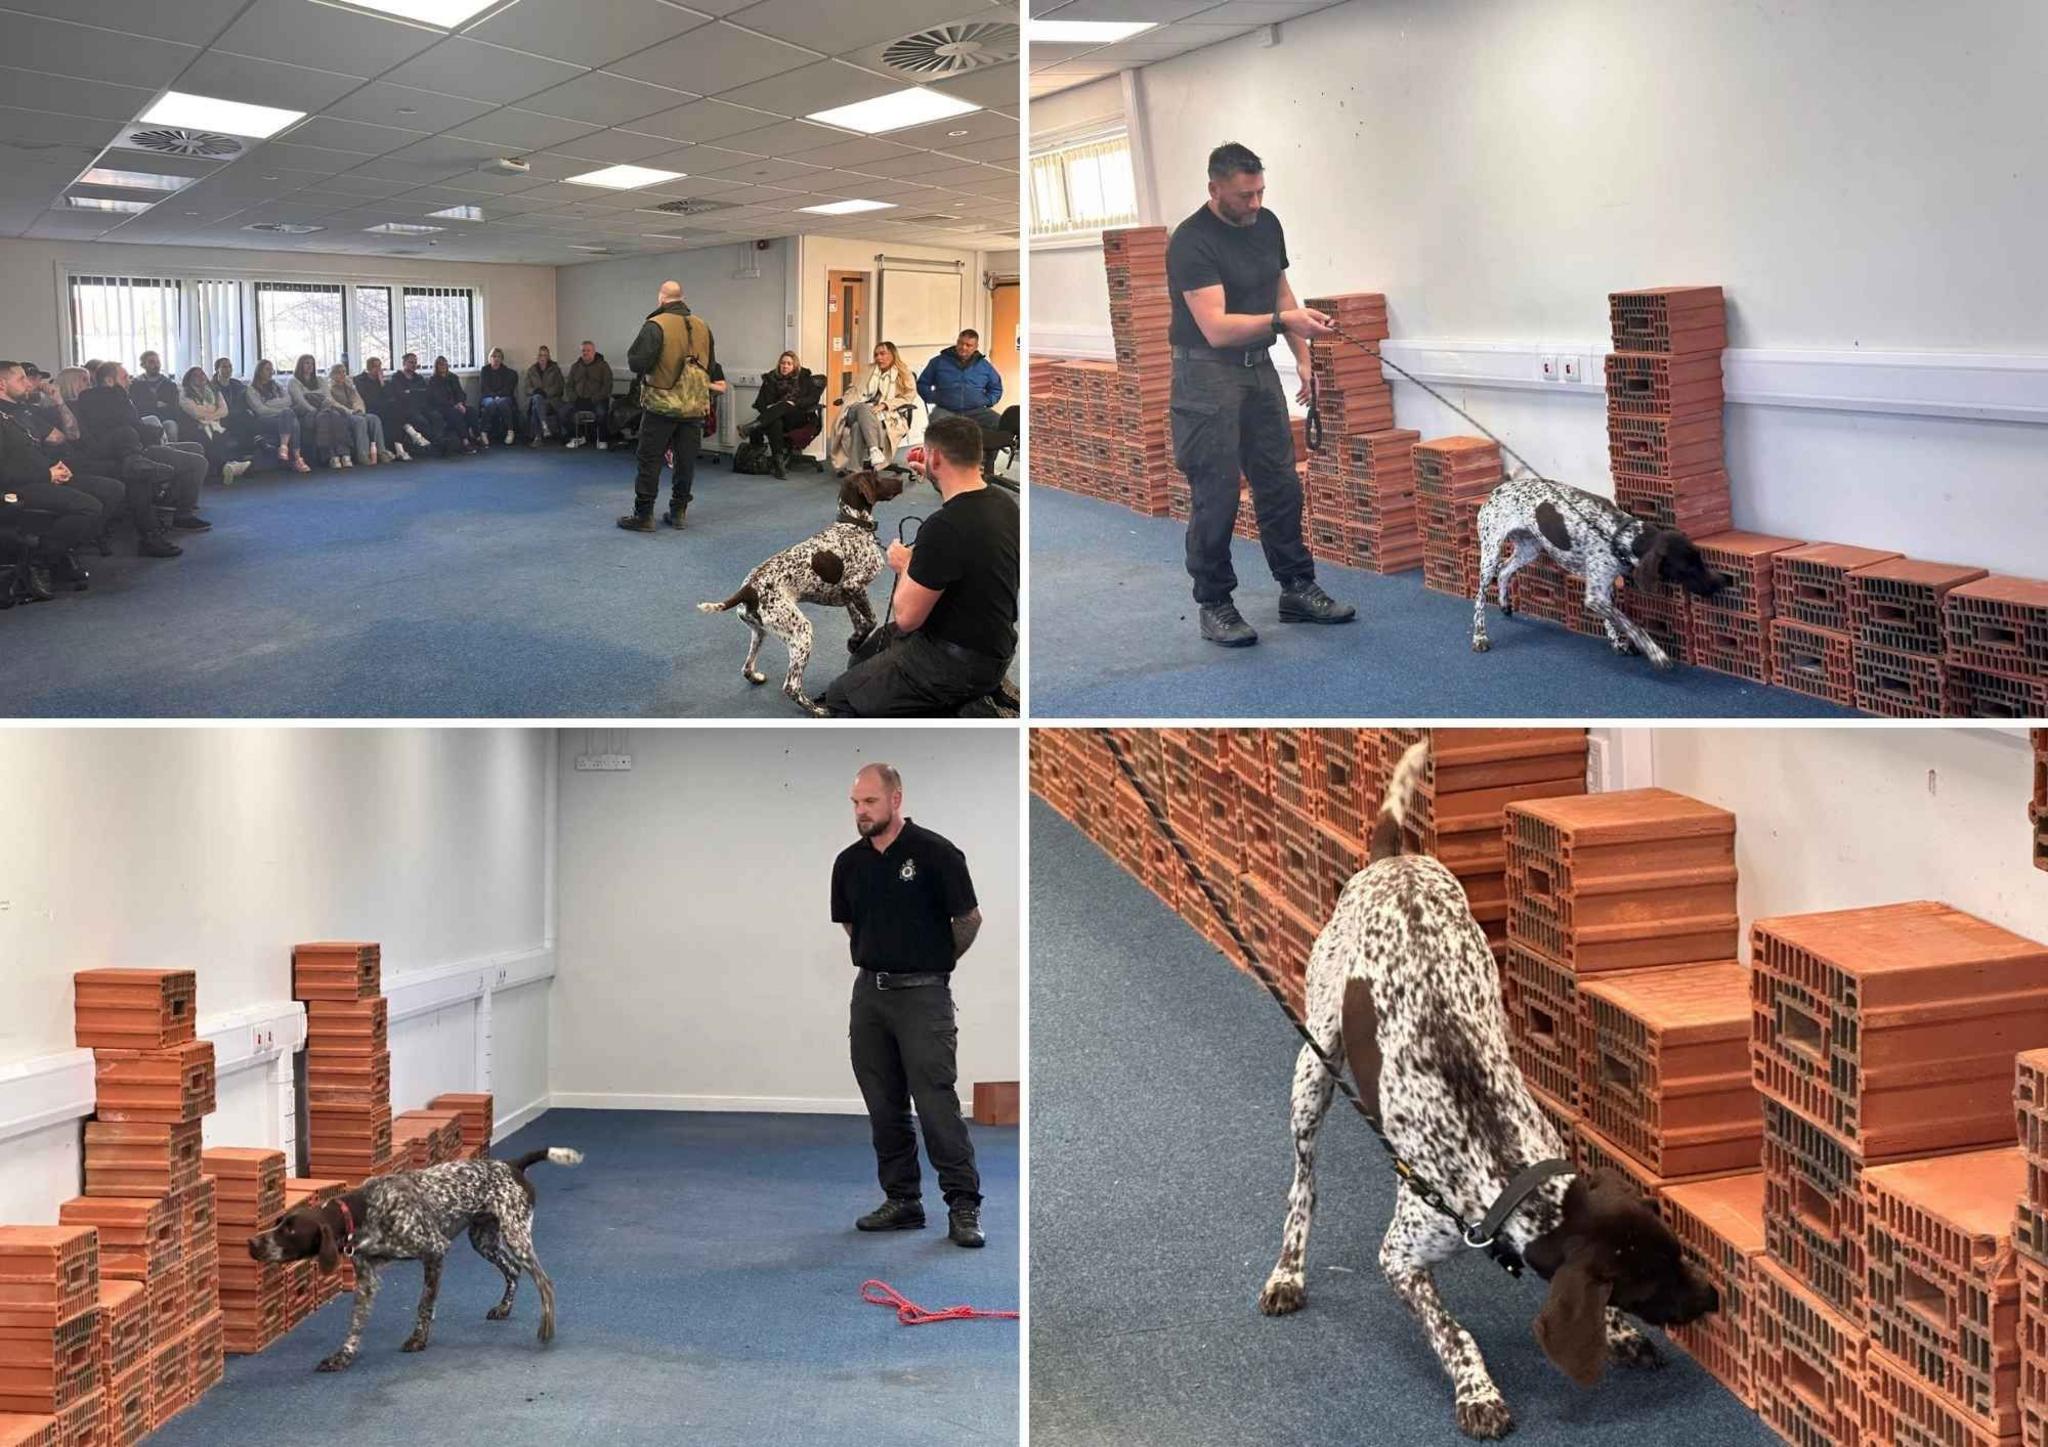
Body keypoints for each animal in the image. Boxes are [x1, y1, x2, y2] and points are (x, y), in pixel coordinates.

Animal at [251, 1146, 585, 1367]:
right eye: (279, 1222)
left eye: (291, 1230)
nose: (252, 1242)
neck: (363, 1210)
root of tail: (512, 1164)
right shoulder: (367, 1279)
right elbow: (356, 1323)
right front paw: (343, 1355)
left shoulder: (434, 1251)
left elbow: (424, 1305)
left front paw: (418, 1339)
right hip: (483, 1239)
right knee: (513, 1271)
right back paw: (504, 1308)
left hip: (515, 1235)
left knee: (544, 1282)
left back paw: (546, 1325)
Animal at [696, 466, 905, 716]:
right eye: (876, 477)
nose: (901, 480)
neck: (852, 524)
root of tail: (748, 589)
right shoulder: (854, 586)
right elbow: (872, 620)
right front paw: (856, 641)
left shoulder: (847, 595)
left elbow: (861, 623)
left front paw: (854, 642)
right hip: (801, 632)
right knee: (792, 687)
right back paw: (818, 711)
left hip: (759, 631)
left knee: (746, 668)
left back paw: (756, 677)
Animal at [1253, 740, 1720, 1440]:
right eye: (1651, 1283)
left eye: (1677, 1255)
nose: (1714, 1298)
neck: (1508, 1170)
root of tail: (1394, 861)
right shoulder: (1401, 1256)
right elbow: (1454, 1334)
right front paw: (1477, 1391)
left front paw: (1614, 1332)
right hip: (1313, 1067)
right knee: (1302, 1186)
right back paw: (1289, 1268)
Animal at [1474, 480, 1728, 675]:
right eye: (1687, 568)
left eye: (1700, 560)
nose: (1720, 584)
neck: (1618, 535)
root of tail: (1498, 489)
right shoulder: (1595, 595)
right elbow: (1631, 624)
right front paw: (1655, 652)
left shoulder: (1605, 586)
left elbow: (1613, 619)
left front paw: (1618, 642)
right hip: (1490, 554)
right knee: (1480, 599)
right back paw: (1479, 636)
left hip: (1529, 549)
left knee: (1504, 571)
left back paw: (1505, 603)